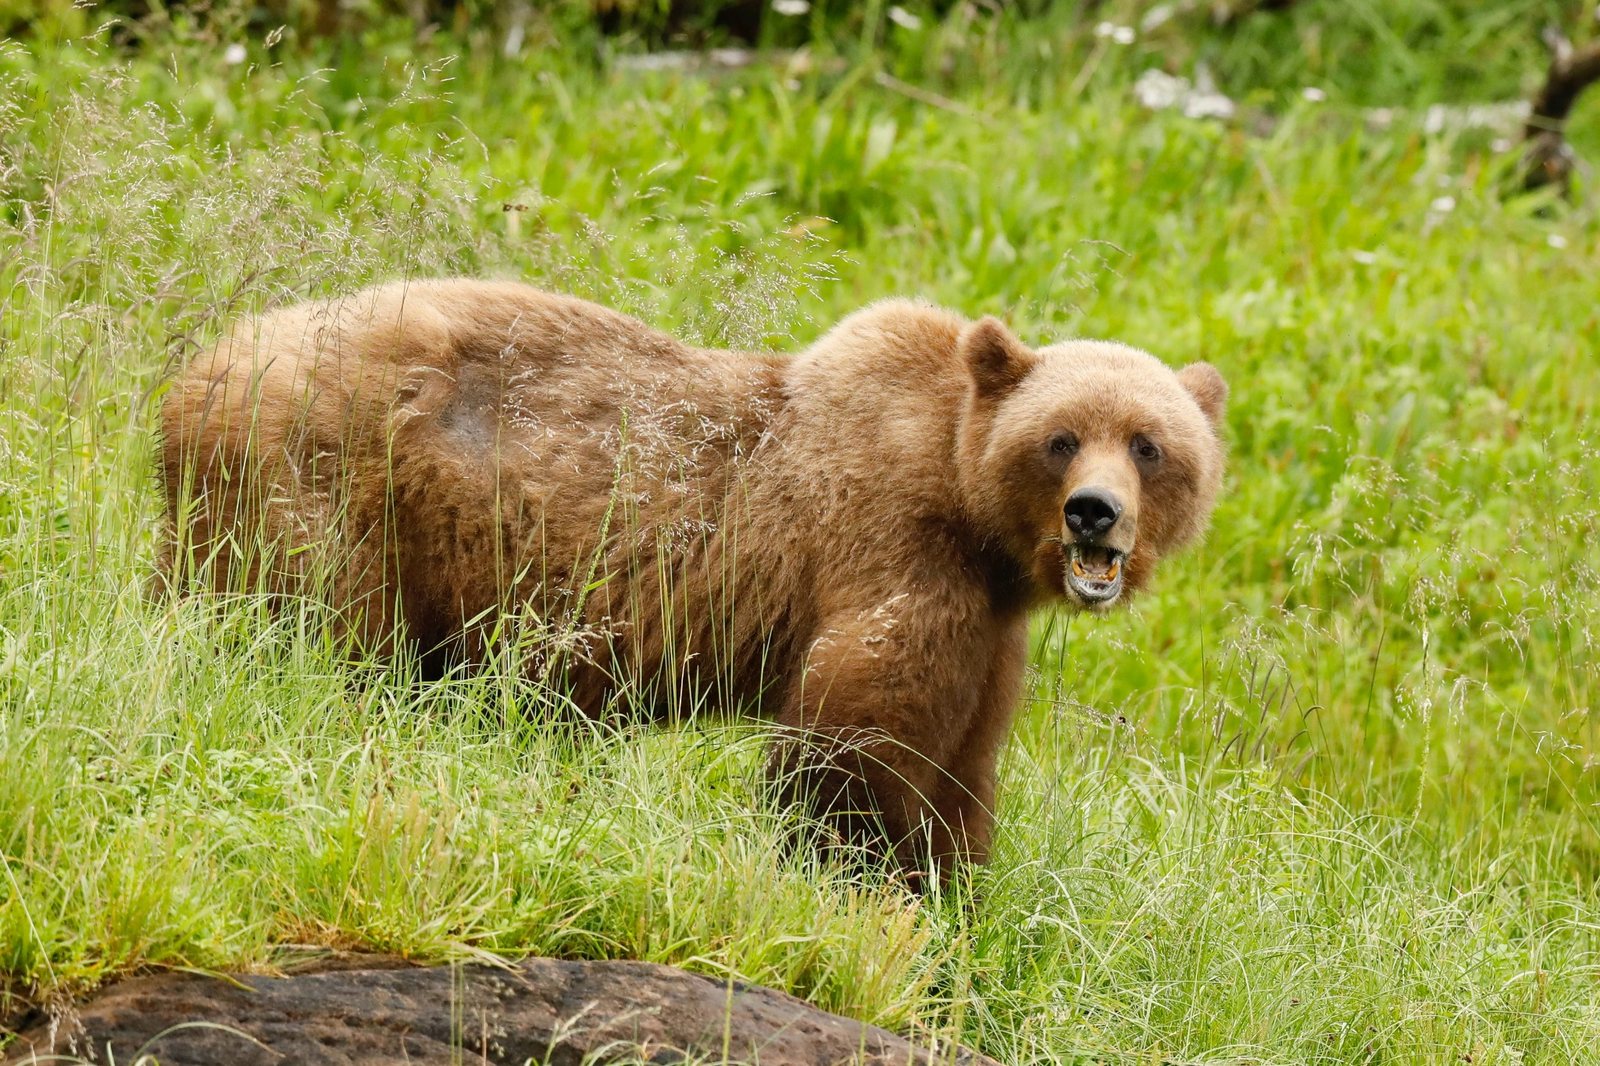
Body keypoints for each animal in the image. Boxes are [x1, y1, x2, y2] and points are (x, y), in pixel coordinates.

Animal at [158, 279, 1227, 884]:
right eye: (1061, 438)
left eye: (1151, 443)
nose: (1094, 513)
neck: (969, 509)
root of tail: (196, 369)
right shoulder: (888, 548)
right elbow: (856, 733)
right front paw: (857, 872)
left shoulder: (988, 625)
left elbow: (963, 762)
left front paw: (957, 882)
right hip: (325, 485)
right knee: (313, 634)